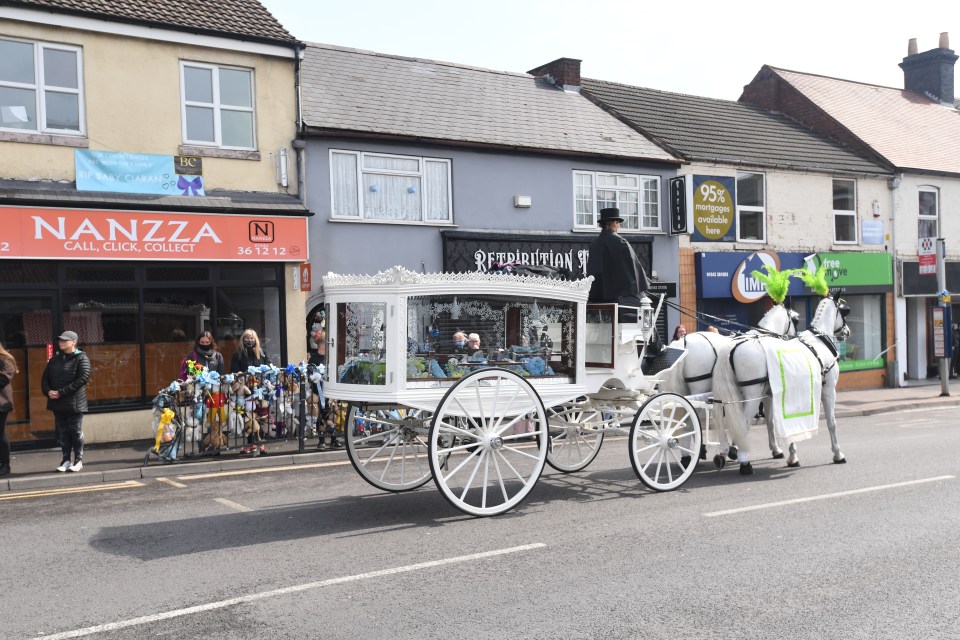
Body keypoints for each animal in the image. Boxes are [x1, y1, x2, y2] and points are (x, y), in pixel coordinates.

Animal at [712, 296, 848, 476]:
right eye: (844, 310)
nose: (846, 331)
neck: (819, 340)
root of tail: (731, 347)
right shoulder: (829, 390)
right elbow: (832, 423)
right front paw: (838, 454)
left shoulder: (773, 394)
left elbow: (775, 422)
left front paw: (790, 455)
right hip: (752, 396)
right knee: (742, 423)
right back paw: (744, 463)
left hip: (730, 396)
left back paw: (724, 454)